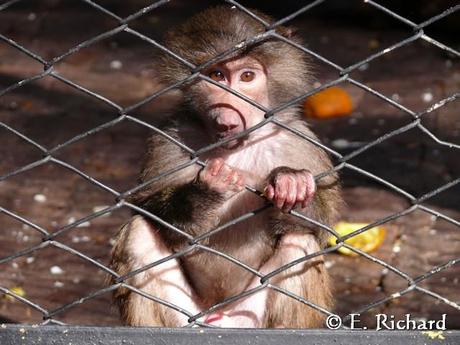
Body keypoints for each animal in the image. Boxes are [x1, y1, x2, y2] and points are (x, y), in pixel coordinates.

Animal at [110, 6, 342, 328]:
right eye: (217, 75)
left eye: (247, 76)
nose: (228, 108)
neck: (238, 146)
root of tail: (221, 319)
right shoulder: (169, 137)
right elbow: (146, 208)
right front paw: (205, 192)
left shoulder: (299, 140)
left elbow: (322, 227)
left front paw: (291, 183)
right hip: (189, 316)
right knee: (139, 233)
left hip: (251, 315)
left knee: (300, 241)